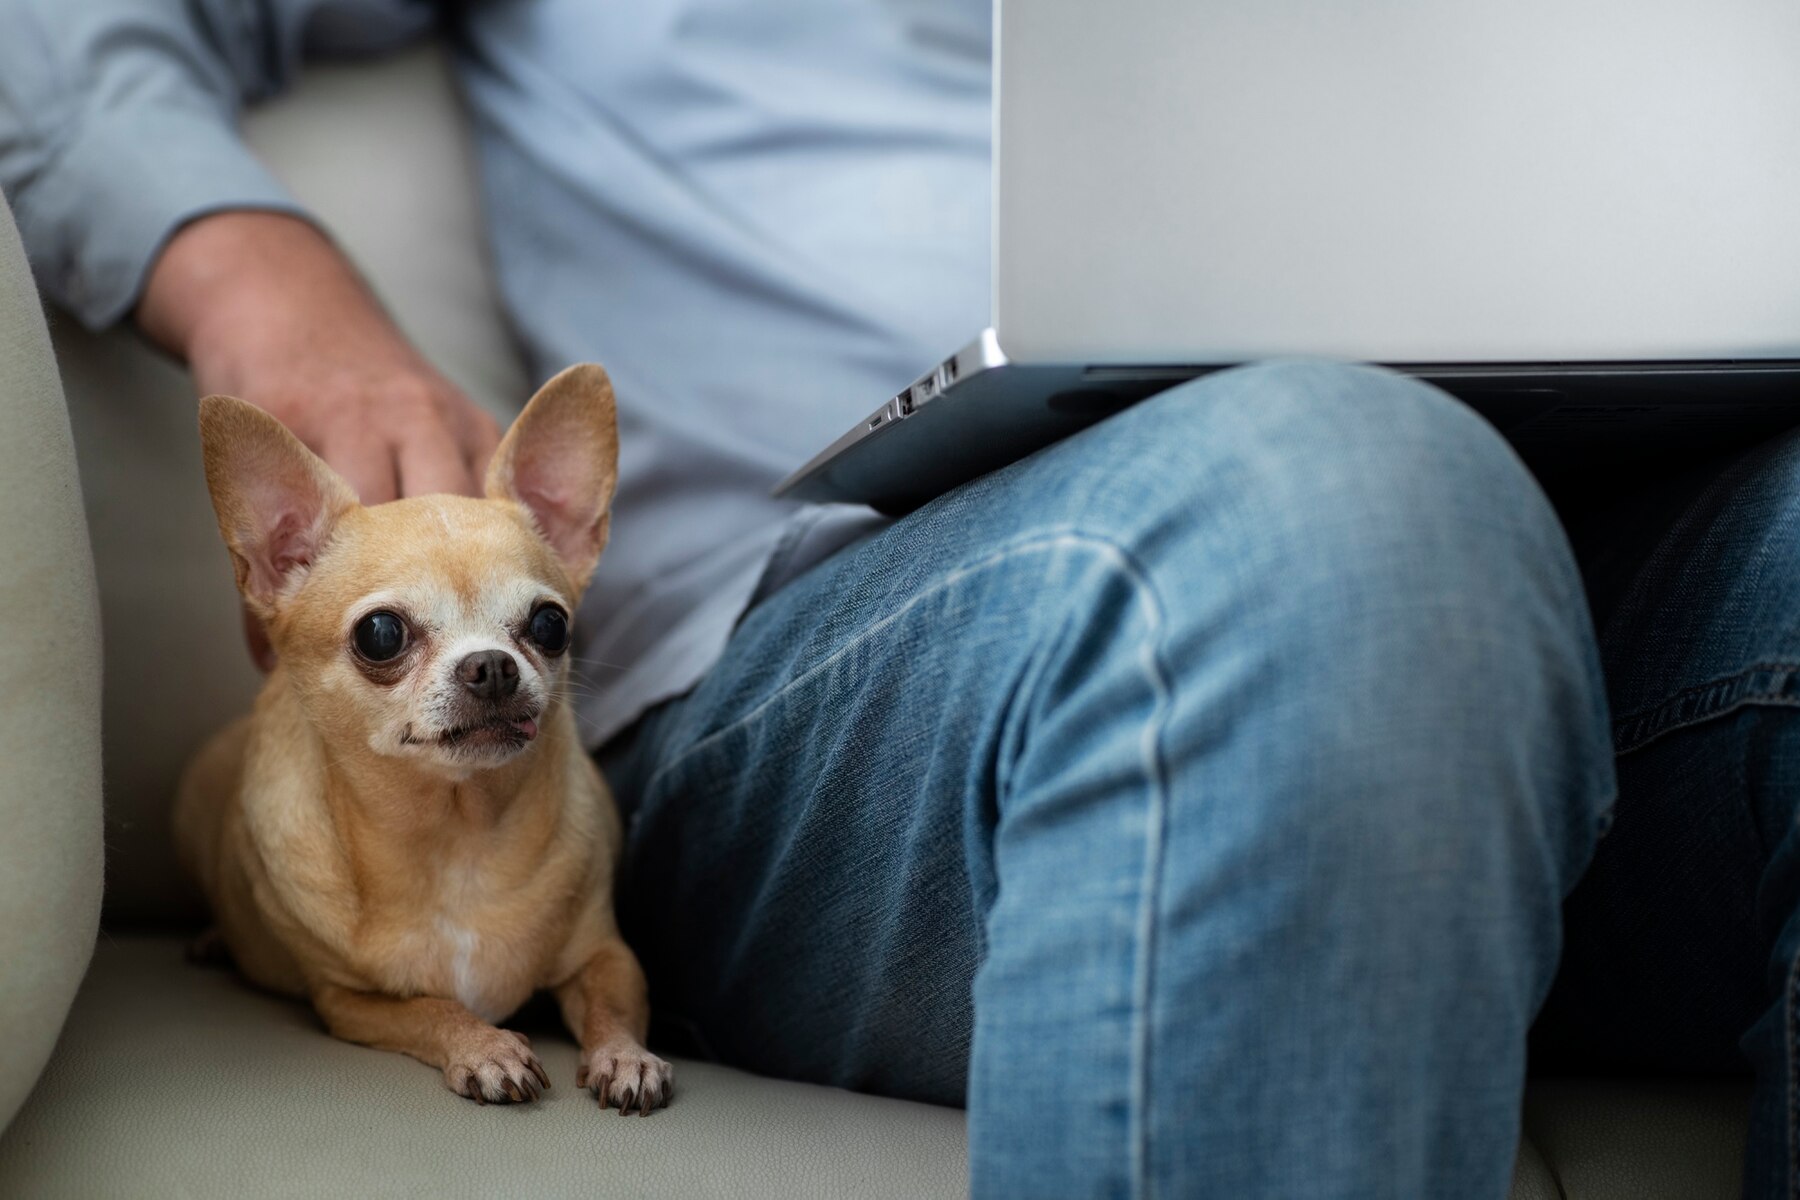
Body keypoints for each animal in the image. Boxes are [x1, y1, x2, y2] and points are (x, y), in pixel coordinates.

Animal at [175, 368, 673, 1115]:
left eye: (551, 624)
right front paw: (485, 1048)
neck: (455, 839)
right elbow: (432, 1009)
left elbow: (614, 1003)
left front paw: (625, 1057)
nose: (492, 665)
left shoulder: (606, 954)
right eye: (381, 634)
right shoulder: (348, 1001)